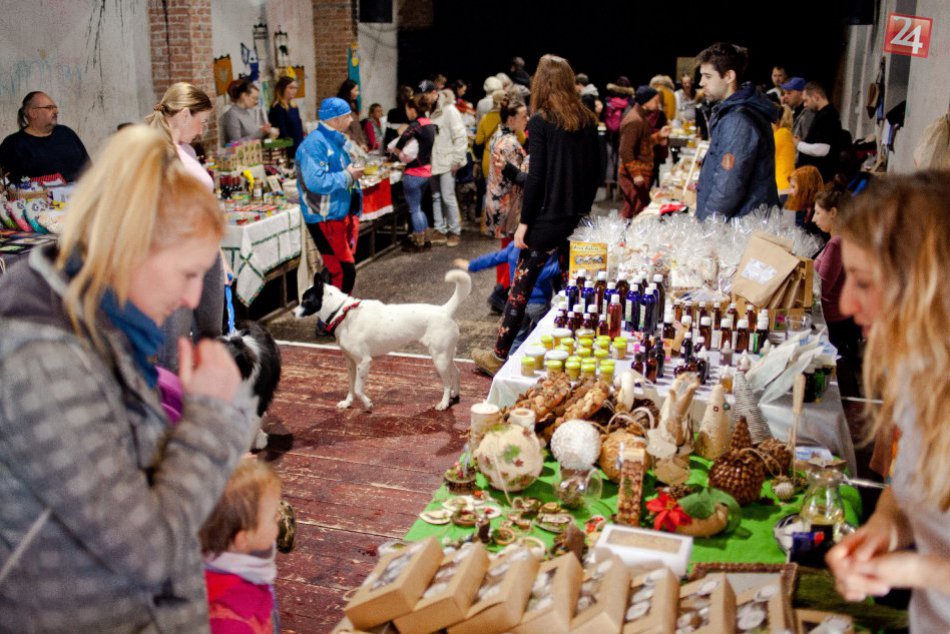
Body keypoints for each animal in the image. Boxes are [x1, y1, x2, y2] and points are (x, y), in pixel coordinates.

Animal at [294, 266, 472, 410]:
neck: (341, 312)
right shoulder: (350, 363)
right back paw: (455, 395)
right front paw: (347, 403)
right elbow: (351, 387)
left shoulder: (364, 361)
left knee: (447, 382)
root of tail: (444, 310)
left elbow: (358, 389)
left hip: (439, 359)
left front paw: (367, 404)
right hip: (446, 356)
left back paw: (444, 403)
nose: (293, 313)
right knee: (456, 372)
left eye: (305, 300)